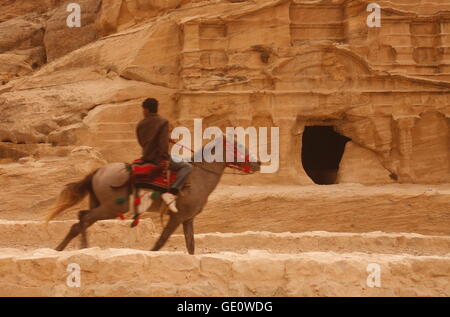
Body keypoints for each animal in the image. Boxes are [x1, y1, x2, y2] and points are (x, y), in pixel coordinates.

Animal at [45, 135, 260, 253]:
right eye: (238, 148)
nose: (257, 163)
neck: (198, 176)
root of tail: (98, 171)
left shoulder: (187, 219)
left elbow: (190, 246)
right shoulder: (177, 217)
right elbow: (161, 241)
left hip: (101, 206)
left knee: (80, 220)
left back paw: (69, 248)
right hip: (110, 208)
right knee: (82, 219)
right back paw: (76, 247)